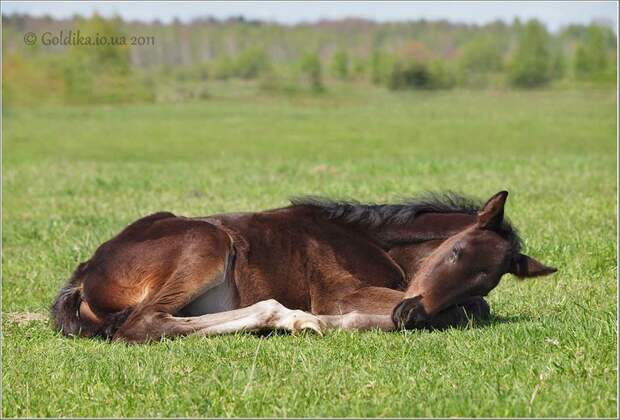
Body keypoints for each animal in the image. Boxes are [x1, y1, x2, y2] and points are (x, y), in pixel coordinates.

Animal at [52, 190, 556, 342]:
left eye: (485, 281)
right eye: (454, 252)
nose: (409, 314)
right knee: (145, 323)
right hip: (206, 240)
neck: (372, 239)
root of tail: (86, 270)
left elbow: (474, 309)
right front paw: (335, 321)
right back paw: (289, 317)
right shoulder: (340, 291)